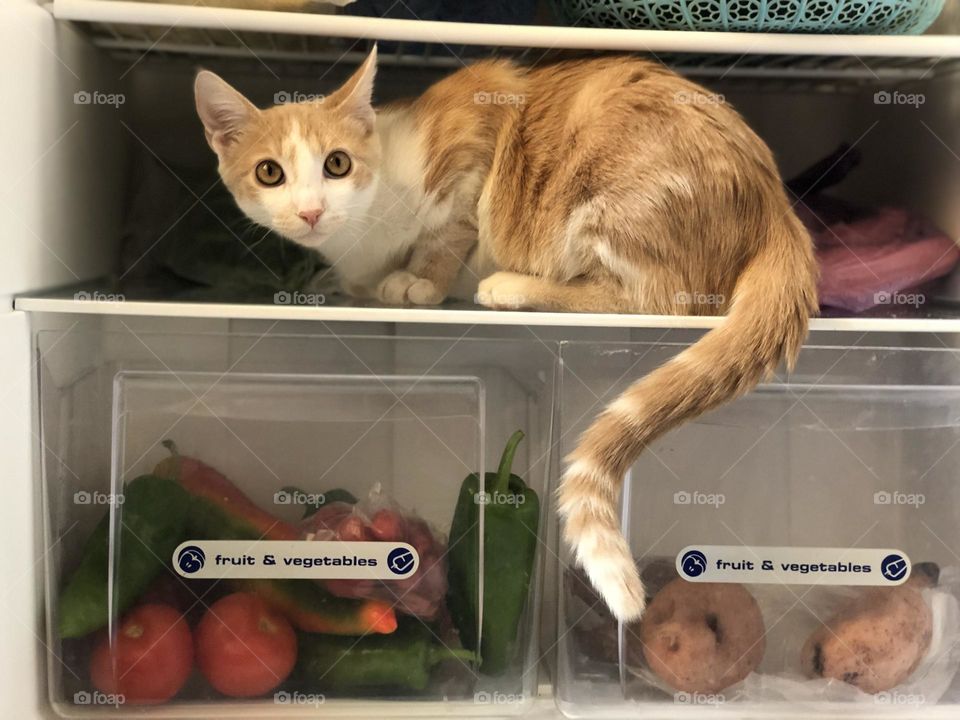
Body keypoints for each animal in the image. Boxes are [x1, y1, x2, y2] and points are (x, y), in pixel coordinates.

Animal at [195, 47, 816, 620]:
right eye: (270, 173)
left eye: (337, 164)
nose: (310, 212)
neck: (366, 234)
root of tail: (776, 202)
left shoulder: (470, 139)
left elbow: (451, 229)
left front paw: (422, 281)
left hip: (611, 200)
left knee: (654, 298)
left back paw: (510, 286)